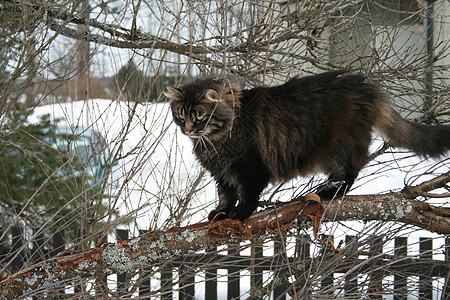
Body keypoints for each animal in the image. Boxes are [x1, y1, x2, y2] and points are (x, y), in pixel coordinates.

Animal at [164, 70, 450, 220]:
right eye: (180, 114)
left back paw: (329, 193)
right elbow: (226, 195)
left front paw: (240, 214)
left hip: (339, 148)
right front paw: (221, 212)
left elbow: (246, 195)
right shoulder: (222, 173)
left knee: (350, 174)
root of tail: (365, 88)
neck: (216, 139)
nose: (187, 129)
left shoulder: (250, 168)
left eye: (199, 116)